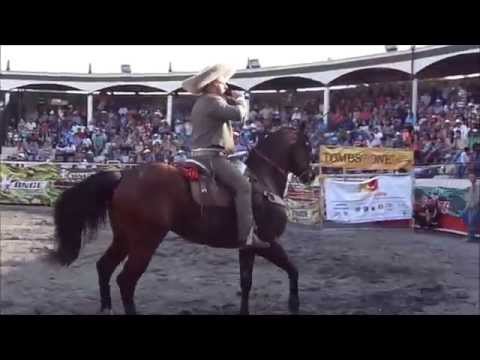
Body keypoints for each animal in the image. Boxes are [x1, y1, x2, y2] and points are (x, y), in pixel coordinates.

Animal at [51, 124, 316, 316]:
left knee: (104, 267)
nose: (311, 175)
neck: (262, 182)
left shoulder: (248, 248)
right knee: (126, 280)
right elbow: (293, 269)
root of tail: (124, 176)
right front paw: (294, 304)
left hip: (124, 238)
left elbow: (246, 283)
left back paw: (106, 308)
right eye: (307, 145)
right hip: (145, 242)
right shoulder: (267, 242)